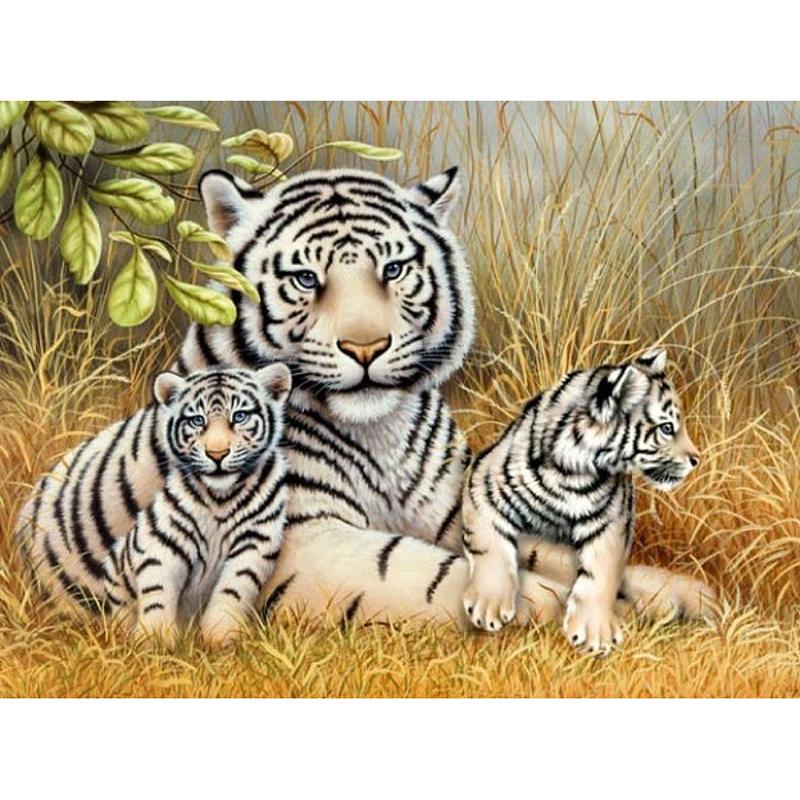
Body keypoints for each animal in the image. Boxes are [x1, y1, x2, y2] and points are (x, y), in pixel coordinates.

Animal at [104, 365, 291, 648]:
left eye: (239, 416)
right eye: (197, 420)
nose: (217, 454)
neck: (220, 497)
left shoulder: (255, 540)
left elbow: (234, 588)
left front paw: (221, 636)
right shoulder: (162, 541)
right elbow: (157, 593)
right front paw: (155, 640)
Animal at [461, 349, 712, 653]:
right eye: (666, 428)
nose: (696, 459)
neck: (572, 472)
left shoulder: (613, 521)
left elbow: (601, 573)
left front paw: (595, 633)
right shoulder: (484, 482)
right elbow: (489, 543)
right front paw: (490, 605)